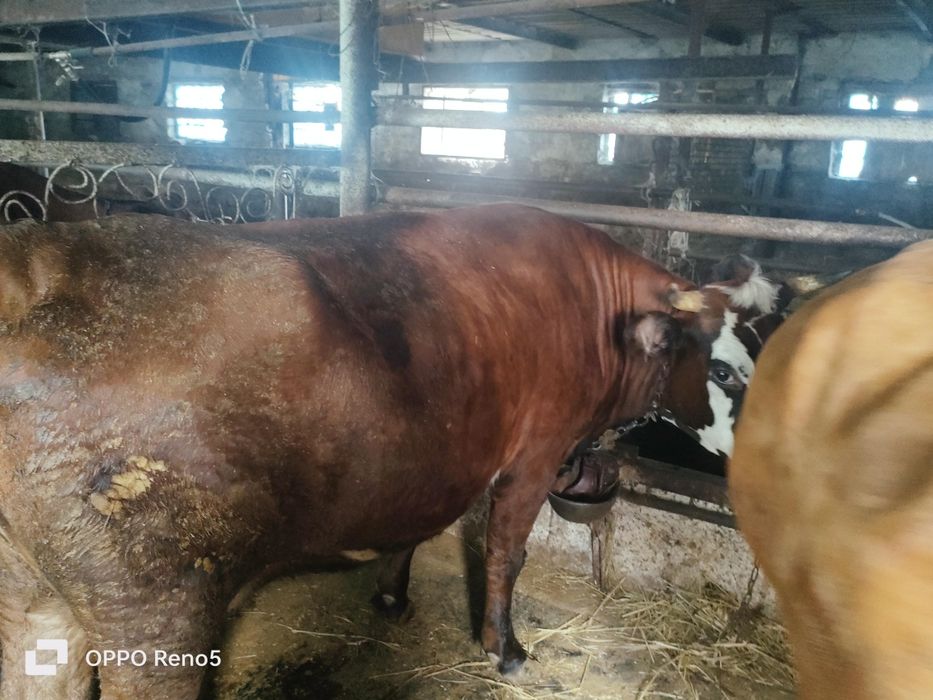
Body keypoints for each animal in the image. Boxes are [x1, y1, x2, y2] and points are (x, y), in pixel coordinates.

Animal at [0, 204, 781, 699]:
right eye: (723, 371)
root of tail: (37, 267)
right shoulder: (534, 453)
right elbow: (505, 554)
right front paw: (504, 649)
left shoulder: (438, 455)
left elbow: (414, 525)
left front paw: (391, 596)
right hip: (156, 606)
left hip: (35, 602)